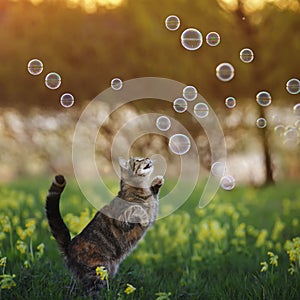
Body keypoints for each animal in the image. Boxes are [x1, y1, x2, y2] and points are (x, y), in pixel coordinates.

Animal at [45, 157, 164, 296]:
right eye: (138, 160)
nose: (148, 158)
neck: (140, 188)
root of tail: (69, 247)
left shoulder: (154, 211)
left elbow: (153, 196)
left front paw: (157, 181)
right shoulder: (123, 220)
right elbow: (136, 208)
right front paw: (143, 217)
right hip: (98, 272)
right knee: (88, 293)